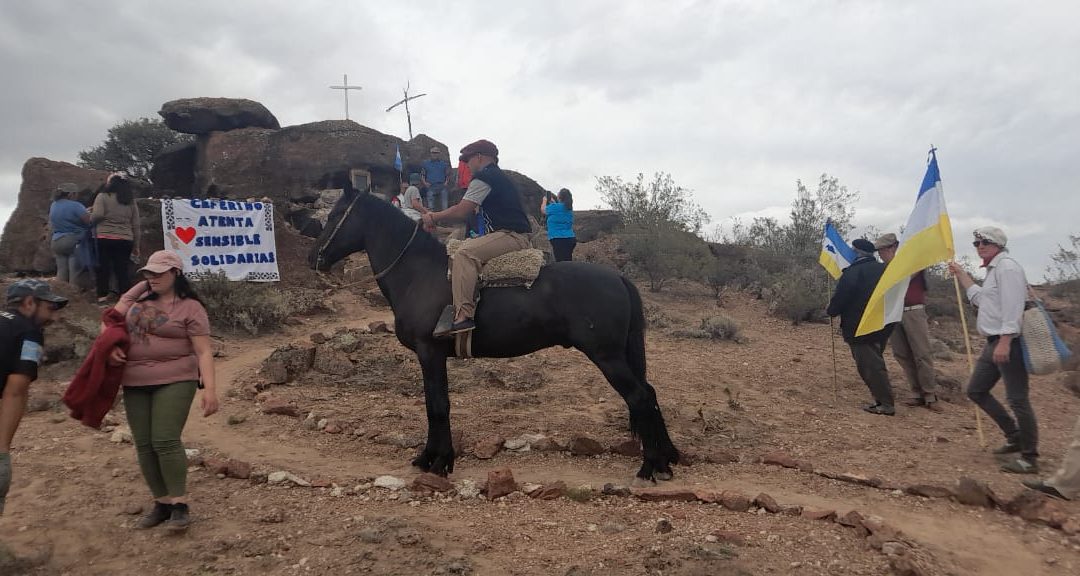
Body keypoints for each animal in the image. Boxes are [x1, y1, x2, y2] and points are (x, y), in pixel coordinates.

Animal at [308, 183, 673, 479]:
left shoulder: (430, 352)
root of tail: (618, 277)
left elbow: (437, 406)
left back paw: (650, 465)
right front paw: (430, 458)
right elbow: (433, 404)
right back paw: (668, 457)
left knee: (640, 396)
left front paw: (439, 462)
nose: (314, 258)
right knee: (650, 393)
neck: (419, 274)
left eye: (336, 215)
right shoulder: (432, 357)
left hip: (606, 356)